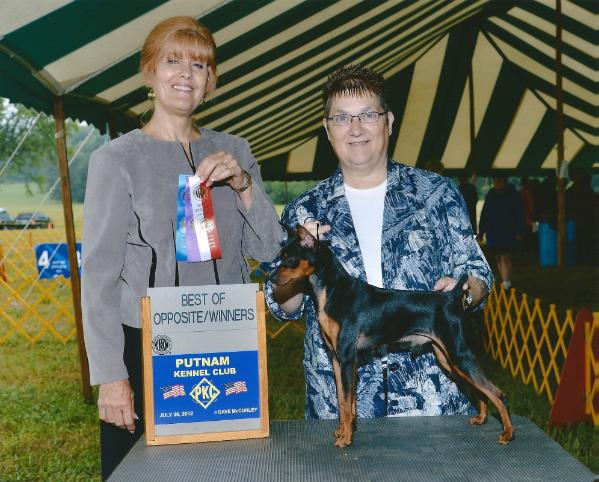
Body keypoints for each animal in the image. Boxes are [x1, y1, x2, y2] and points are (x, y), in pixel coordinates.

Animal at [272, 226, 516, 448]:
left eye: (290, 259)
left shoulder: (347, 358)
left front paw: (346, 438)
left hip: (458, 355)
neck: (332, 291)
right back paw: (481, 418)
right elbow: (343, 402)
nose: (271, 278)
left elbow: (347, 402)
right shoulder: (337, 359)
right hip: (448, 359)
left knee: (498, 393)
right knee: (481, 391)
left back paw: (507, 434)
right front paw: (343, 430)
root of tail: (452, 297)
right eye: (280, 256)